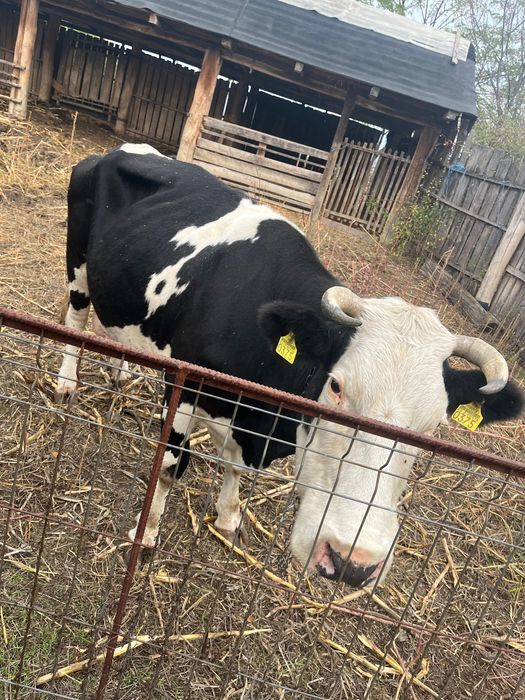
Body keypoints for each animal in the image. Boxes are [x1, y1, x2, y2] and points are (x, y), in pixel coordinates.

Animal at [56, 144, 523, 588]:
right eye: (335, 387)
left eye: (433, 426)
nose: (353, 562)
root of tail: (123, 151)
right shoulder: (185, 383)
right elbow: (172, 467)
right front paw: (148, 532)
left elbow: (232, 466)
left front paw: (229, 517)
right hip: (78, 265)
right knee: (76, 318)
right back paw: (66, 383)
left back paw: (122, 372)